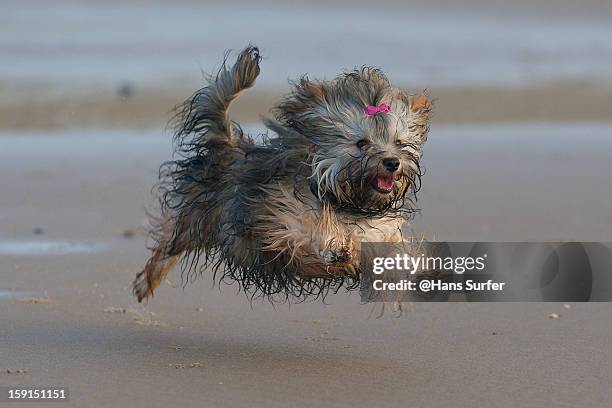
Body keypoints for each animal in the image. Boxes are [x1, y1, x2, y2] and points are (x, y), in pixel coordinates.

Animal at [133, 45, 430, 302]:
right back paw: (146, 281)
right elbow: (309, 231)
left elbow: (390, 248)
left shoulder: (381, 230)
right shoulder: (279, 218)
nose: (392, 162)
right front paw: (337, 247)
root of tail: (229, 145)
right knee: (170, 241)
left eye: (399, 143)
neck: (346, 201)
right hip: (198, 216)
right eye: (361, 143)